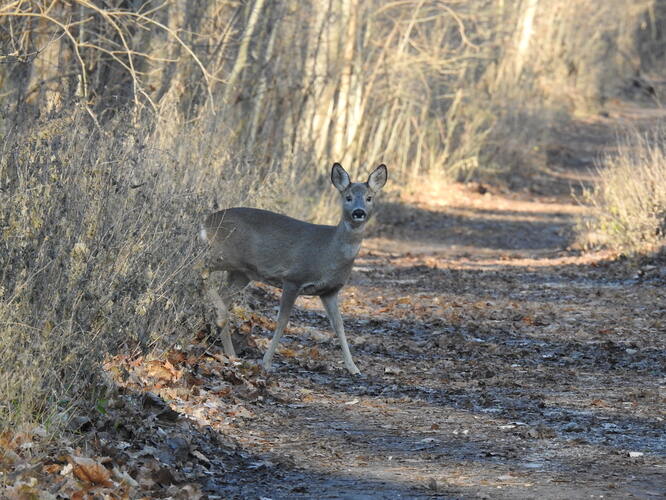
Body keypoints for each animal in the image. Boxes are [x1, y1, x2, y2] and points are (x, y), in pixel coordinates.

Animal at [198, 164, 384, 376]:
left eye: (369, 197)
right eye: (348, 197)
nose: (358, 212)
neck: (328, 251)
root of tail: (206, 222)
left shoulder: (329, 291)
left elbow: (339, 325)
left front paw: (353, 368)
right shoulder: (293, 278)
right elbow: (282, 320)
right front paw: (266, 363)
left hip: (241, 273)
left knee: (223, 294)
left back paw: (230, 352)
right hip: (223, 255)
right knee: (198, 266)